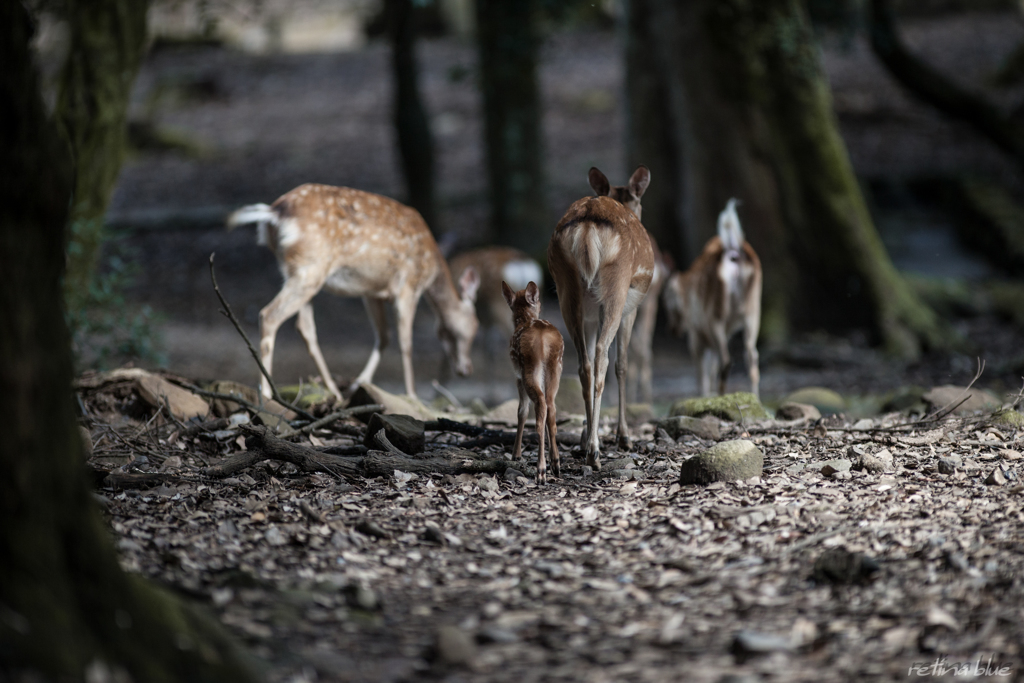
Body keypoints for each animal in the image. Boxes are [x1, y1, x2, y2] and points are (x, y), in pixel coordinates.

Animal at [227, 184, 479, 403]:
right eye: (474, 327)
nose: (467, 369)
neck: (432, 268)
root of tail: (273, 213)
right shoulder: (408, 287)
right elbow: (406, 343)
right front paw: (412, 396)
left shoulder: (372, 292)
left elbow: (384, 336)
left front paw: (359, 383)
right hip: (310, 267)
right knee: (269, 315)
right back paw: (267, 392)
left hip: (299, 272)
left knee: (305, 327)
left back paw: (333, 391)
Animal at [499, 280, 565, 483]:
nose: (542, 304)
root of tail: (544, 339)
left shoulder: (518, 377)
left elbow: (521, 411)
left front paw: (516, 454)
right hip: (556, 367)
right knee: (551, 407)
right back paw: (555, 463)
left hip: (529, 367)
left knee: (540, 408)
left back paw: (541, 470)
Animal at [552, 165, 655, 471]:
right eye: (639, 201)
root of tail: (587, 227)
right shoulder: (631, 309)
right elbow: (622, 365)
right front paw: (624, 437)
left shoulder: (589, 315)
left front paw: (584, 435)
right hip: (616, 288)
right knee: (602, 358)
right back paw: (596, 452)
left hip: (567, 289)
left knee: (583, 364)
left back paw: (587, 447)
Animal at [663, 197, 761, 397]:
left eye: (666, 300)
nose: (672, 329)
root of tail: (733, 249)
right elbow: (711, 367)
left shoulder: (696, 335)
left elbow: (702, 374)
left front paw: (703, 396)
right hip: (753, 311)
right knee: (752, 358)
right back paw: (755, 398)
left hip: (716, 314)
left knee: (727, 360)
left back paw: (723, 395)